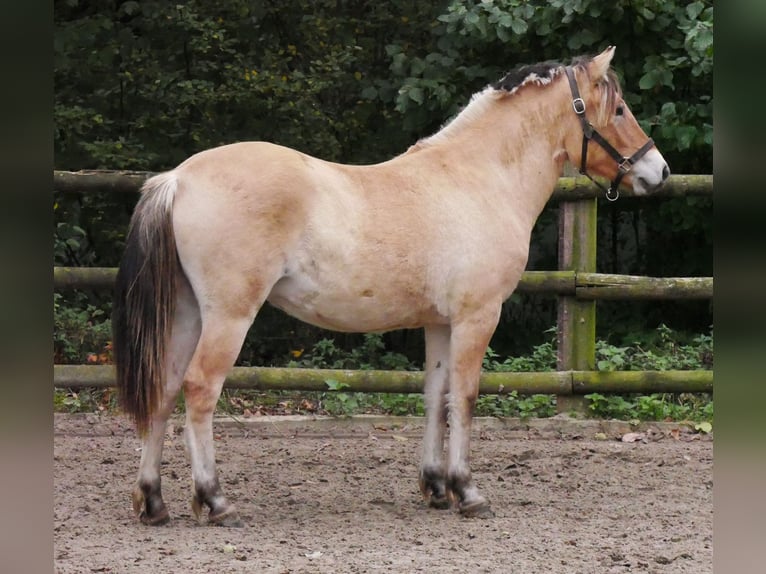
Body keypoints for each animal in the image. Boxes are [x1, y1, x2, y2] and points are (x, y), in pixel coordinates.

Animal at [113, 46, 669, 526]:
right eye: (619, 109)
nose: (659, 171)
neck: (479, 178)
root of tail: (178, 179)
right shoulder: (477, 316)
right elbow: (465, 396)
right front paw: (468, 491)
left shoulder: (439, 323)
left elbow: (435, 396)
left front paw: (437, 488)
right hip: (228, 316)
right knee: (199, 389)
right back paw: (214, 500)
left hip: (188, 314)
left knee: (164, 389)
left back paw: (153, 502)